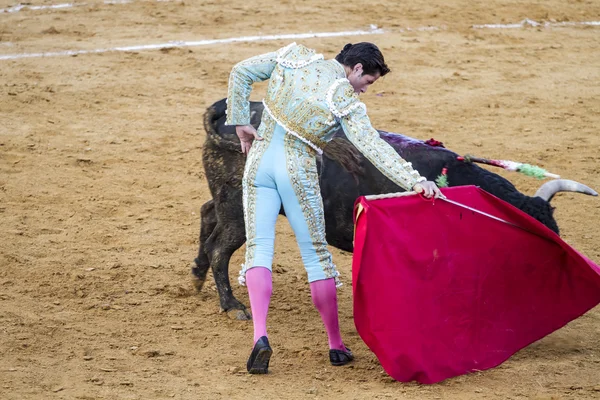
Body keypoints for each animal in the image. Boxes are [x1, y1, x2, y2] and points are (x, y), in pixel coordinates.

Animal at [195, 97, 596, 318]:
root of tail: (227, 113)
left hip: (226, 200)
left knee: (207, 214)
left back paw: (198, 277)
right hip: (241, 210)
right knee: (220, 248)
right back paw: (233, 306)